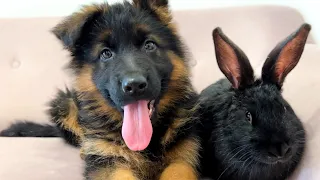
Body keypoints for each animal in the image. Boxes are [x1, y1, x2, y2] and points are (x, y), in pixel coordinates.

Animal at [0, 0, 200, 179]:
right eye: (106, 54)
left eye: (149, 45)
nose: (134, 85)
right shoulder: (110, 162)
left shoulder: (183, 158)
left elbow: (178, 171)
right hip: (65, 103)